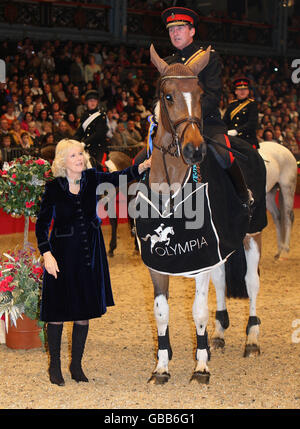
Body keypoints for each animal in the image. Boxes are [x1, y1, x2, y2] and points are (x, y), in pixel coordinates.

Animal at [134, 45, 268, 382]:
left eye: (199, 93)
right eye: (168, 96)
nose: (195, 150)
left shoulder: (202, 256)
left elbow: (198, 311)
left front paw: (201, 366)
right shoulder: (157, 261)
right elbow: (161, 312)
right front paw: (162, 367)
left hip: (253, 233)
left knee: (251, 282)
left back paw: (251, 339)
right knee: (222, 281)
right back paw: (219, 335)